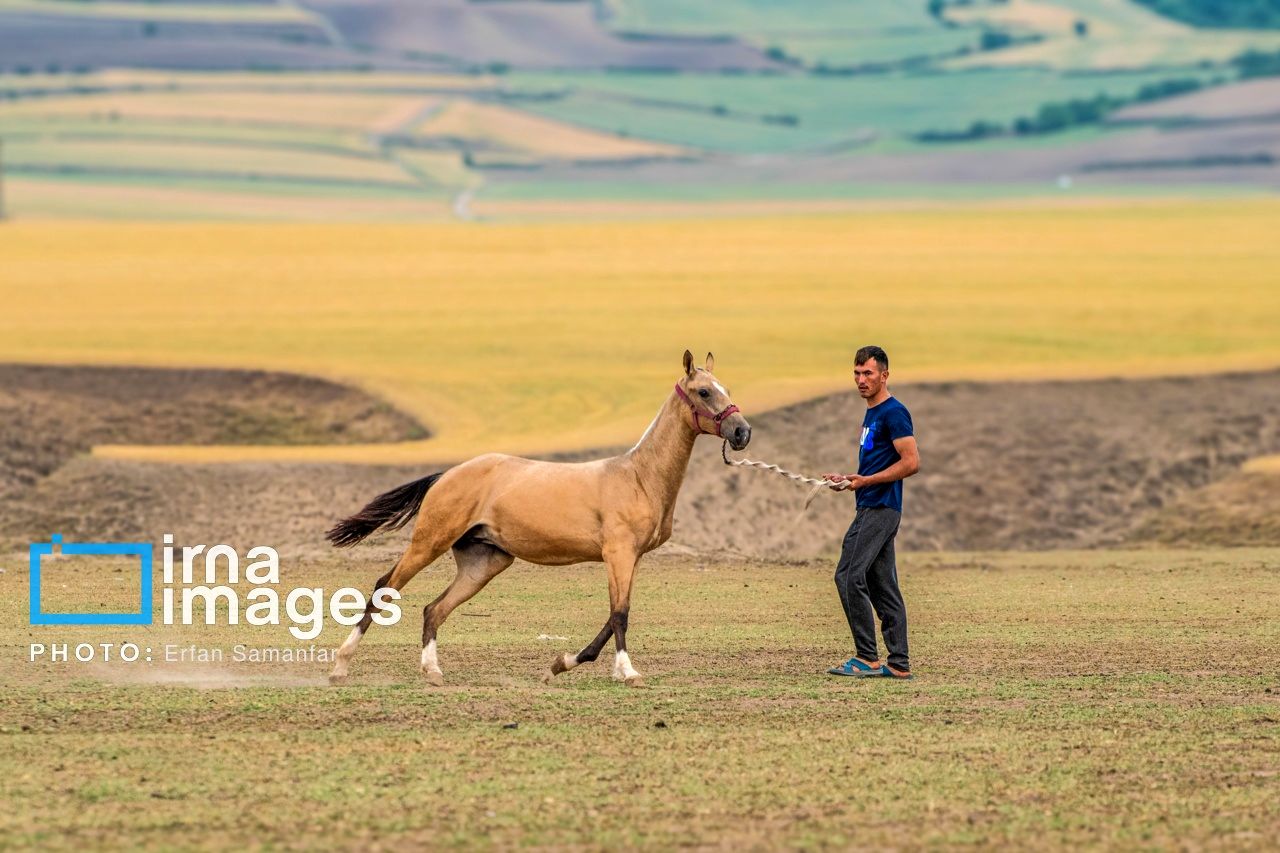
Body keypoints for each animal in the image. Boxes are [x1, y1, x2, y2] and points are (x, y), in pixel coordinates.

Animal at [325, 348, 752, 686]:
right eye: (704, 391)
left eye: (728, 390)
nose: (741, 432)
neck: (638, 476)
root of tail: (447, 474)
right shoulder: (618, 554)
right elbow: (620, 615)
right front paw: (627, 672)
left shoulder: (632, 559)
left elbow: (612, 615)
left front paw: (560, 665)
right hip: (428, 543)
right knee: (384, 587)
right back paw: (340, 666)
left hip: (484, 563)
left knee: (434, 609)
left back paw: (432, 671)